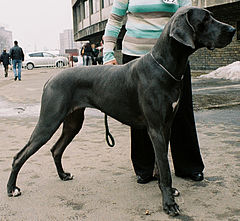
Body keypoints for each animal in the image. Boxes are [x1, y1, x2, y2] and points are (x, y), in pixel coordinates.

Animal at [7, 6, 234, 216]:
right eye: (206, 19)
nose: (233, 29)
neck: (164, 66)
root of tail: (51, 78)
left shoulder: (165, 127)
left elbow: (159, 164)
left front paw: (166, 191)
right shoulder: (156, 129)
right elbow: (165, 168)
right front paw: (169, 204)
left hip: (73, 122)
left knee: (56, 149)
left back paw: (63, 175)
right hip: (49, 121)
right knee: (20, 155)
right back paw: (12, 189)